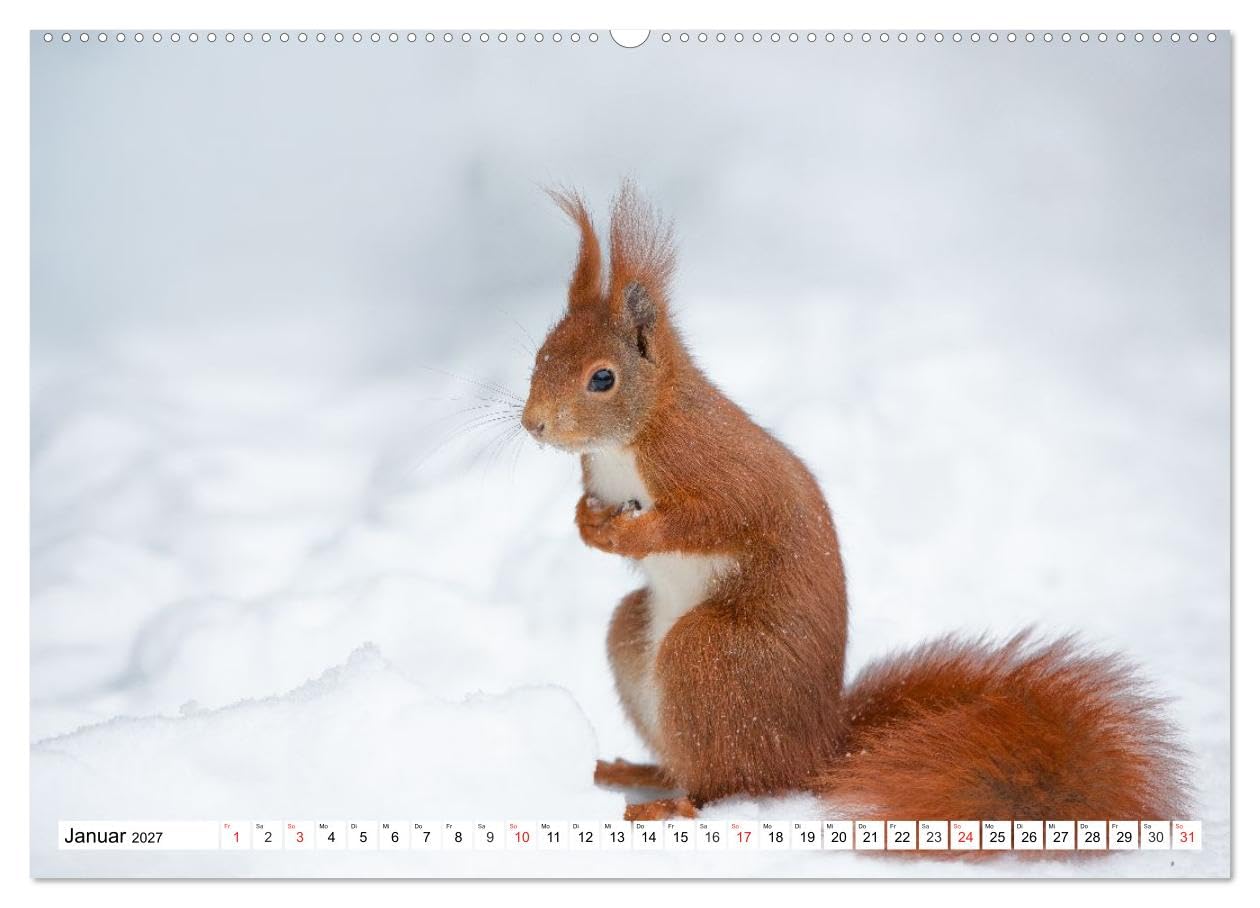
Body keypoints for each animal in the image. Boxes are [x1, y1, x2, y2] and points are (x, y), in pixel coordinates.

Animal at [521, 182, 1189, 833]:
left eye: (602, 379)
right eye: (540, 353)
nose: (533, 424)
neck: (631, 437)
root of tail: (816, 752)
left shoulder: (712, 466)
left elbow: (716, 518)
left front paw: (631, 535)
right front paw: (586, 524)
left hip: (709, 658)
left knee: (731, 784)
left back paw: (671, 805)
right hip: (635, 634)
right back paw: (636, 772)